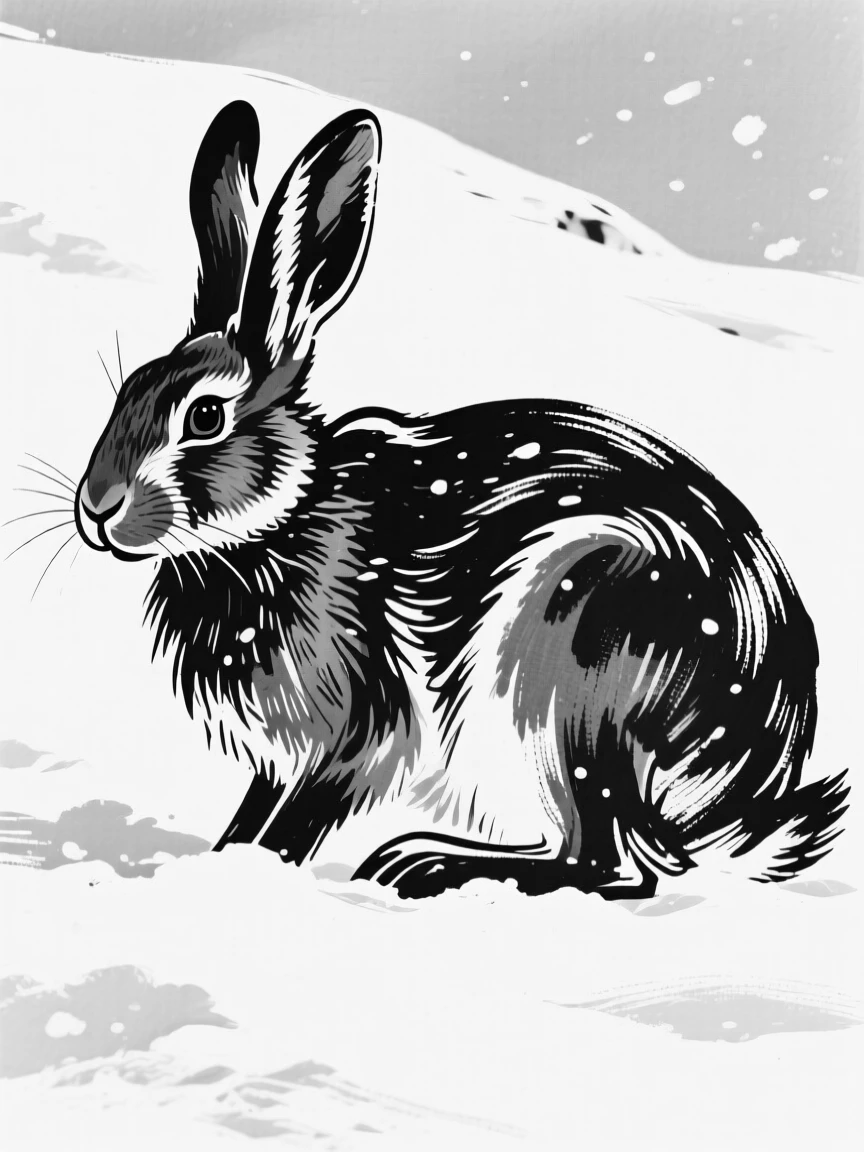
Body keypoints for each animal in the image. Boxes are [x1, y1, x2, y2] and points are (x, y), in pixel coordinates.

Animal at [74, 100, 848, 900]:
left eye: (204, 417)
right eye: (128, 389)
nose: (97, 507)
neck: (283, 521)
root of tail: (744, 784)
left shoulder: (357, 730)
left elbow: (296, 821)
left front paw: (251, 877)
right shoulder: (281, 758)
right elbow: (251, 816)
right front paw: (219, 863)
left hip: (572, 659)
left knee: (606, 862)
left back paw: (423, 864)